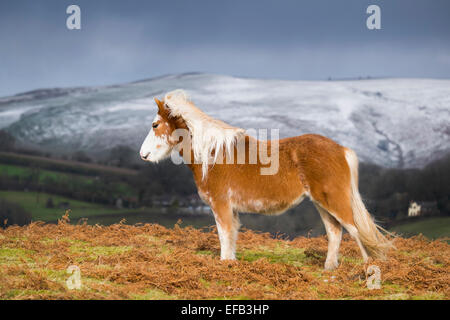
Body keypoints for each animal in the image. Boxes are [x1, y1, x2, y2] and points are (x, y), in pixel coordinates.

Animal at [139, 89, 392, 270]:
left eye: (155, 125)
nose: (143, 154)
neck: (211, 154)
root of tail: (341, 149)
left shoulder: (220, 205)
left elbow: (224, 236)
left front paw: (224, 265)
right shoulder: (231, 209)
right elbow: (231, 238)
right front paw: (231, 263)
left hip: (334, 200)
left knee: (355, 231)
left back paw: (367, 268)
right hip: (322, 203)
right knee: (335, 232)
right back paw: (329, 268)